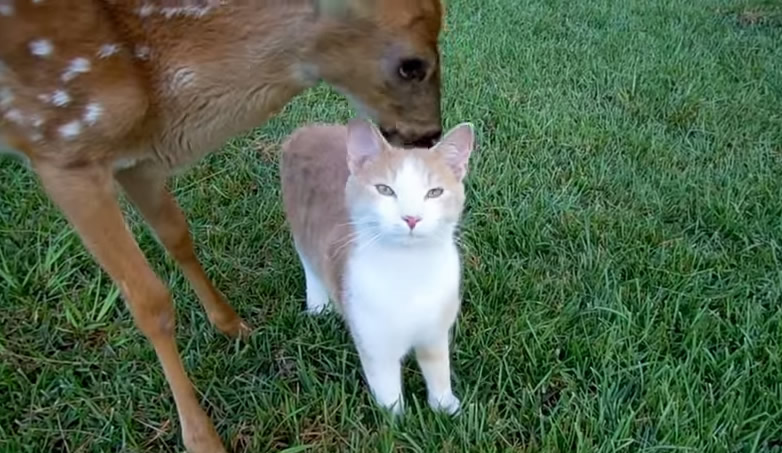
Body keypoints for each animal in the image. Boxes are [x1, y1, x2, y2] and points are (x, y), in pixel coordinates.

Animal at [282, 118, 478, 414]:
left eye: (434, 193)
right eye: (385, 190)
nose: (411, 218)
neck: (409, 272)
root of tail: (308, 129)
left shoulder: (435, 330)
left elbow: (438, 369)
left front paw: (445, 407)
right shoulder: (374, 342)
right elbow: (387, 390)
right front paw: (397, 420)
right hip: (300, 229)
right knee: (309, 264)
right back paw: (318, 305)